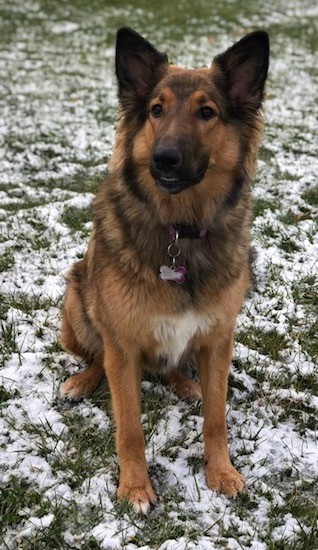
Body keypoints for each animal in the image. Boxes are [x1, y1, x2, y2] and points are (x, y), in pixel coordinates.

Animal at [59, 25, 268, 516]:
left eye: (207, 113)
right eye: (156, 110)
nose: (164, 159)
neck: (180, 232)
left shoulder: (217, 337)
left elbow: (217, 417)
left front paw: (221, 473)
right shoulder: (122, 342)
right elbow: (130, 425)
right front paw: (135, 488)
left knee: (170, 367)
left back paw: (185, 384)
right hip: (78, 296)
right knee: (98, 358)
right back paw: (81, 381)